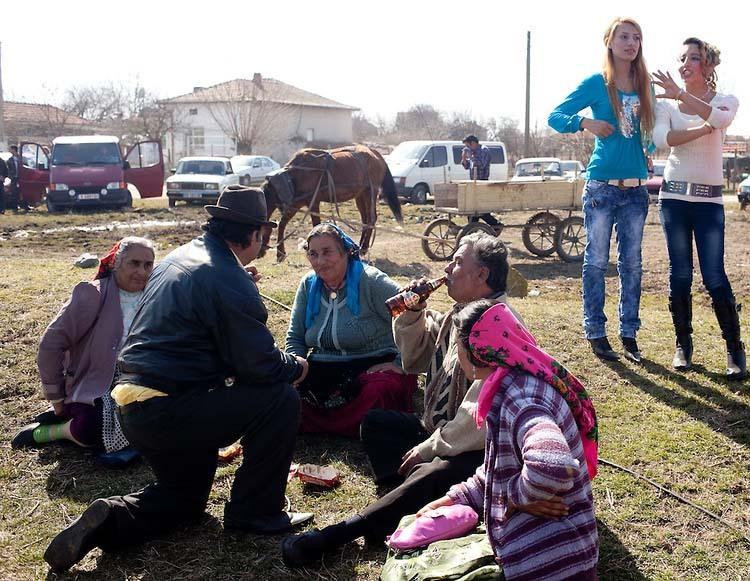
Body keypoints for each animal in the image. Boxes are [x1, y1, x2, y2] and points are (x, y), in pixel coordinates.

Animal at [260, 144, 402, 262]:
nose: (260, 252)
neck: (296, 174)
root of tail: (375, 153)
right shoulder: (297, 204)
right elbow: (283, 224)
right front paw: (280, 254)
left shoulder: (313, 203)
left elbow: (315, 224)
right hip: (360, 195)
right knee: (365, 219)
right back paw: (359, 247)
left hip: (370, 193)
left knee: (371, 219)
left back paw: (364, 248)